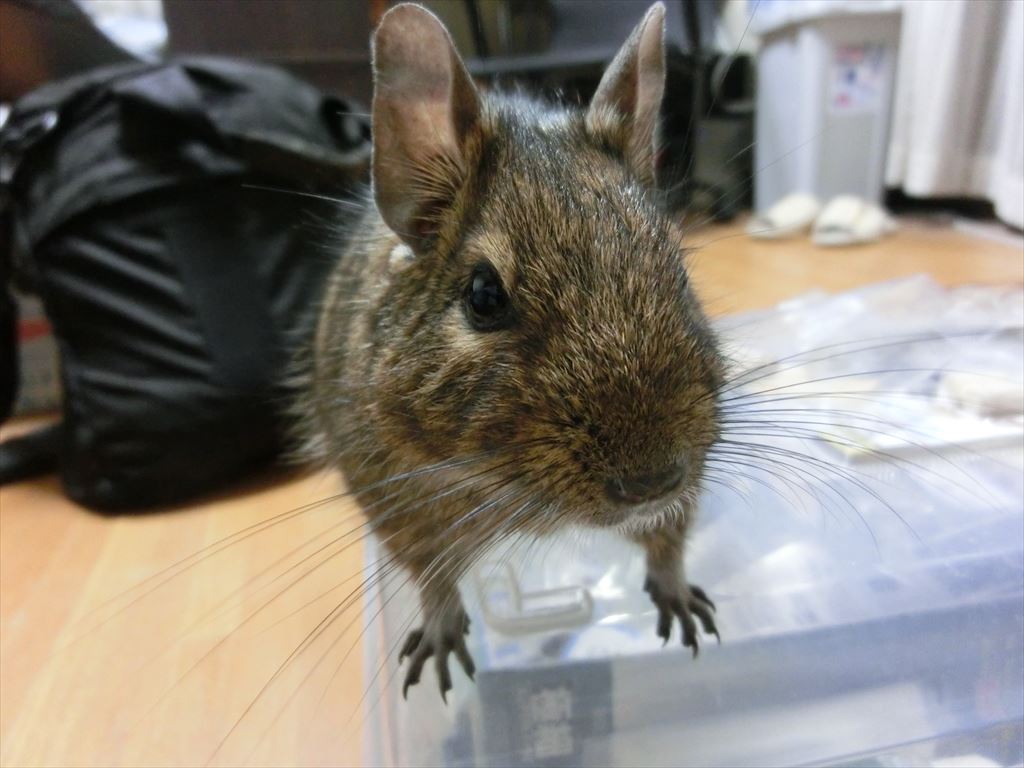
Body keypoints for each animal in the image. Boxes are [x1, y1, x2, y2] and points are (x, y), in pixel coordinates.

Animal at [300, 1, 724, 700]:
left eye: (680, 269)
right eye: (483, 296)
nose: (652, 481)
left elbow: (669, 537)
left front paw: (679, 594)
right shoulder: (387, 491)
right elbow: (431, 573)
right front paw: (440, 636)